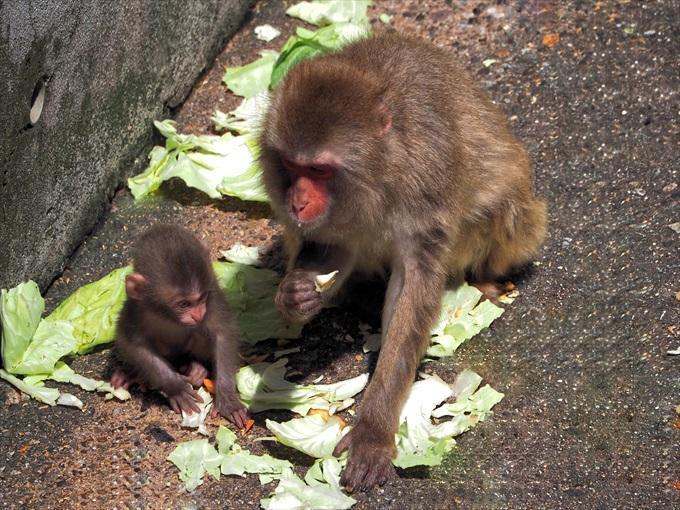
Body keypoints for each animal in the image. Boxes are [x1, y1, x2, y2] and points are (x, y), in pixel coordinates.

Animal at [110, 225, 248, 428]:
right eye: (183, 304)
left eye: (201, 298)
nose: (198, 314)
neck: (169, 317)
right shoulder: (136, 309)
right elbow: (132, 343)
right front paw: (176, 388)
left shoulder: (213, 297)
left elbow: (223, 334)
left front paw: (228, 398)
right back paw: (133, 374)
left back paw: (197, 369)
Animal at [258, 32, 548, 490]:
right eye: (291, 164)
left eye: (319, 170)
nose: (298, 201)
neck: (380, 168)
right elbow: (331, 246)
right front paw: (296, 294)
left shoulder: (424, 184)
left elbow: (412, 293)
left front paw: (373, 431)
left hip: (522, 221)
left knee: (501, 209)